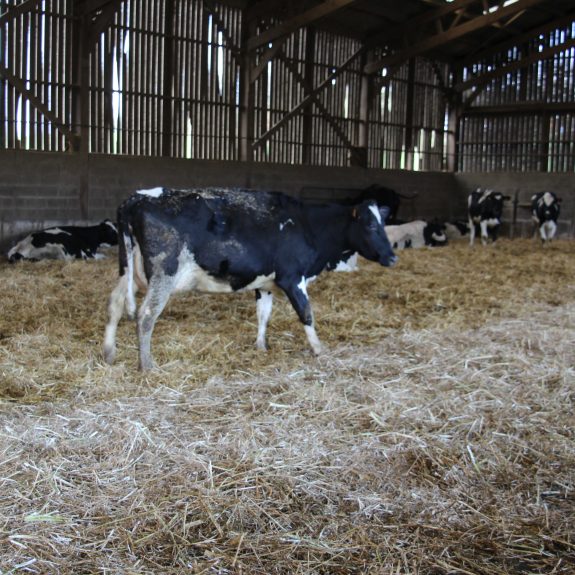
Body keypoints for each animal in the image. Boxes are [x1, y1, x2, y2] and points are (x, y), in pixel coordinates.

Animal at [103, 187, 398, 372]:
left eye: (384, 223)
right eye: (371, 225)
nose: (393, 257)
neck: (308, 225)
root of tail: (137, 199)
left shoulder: (264, 283)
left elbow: (263, 314)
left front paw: (261, 346)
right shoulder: (292, 278)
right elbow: (306, 313)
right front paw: (318, 349)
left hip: (126, 270)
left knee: (115, 304)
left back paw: (109, 352)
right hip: (164, 274)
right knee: (146, 316)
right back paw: (146, 366)